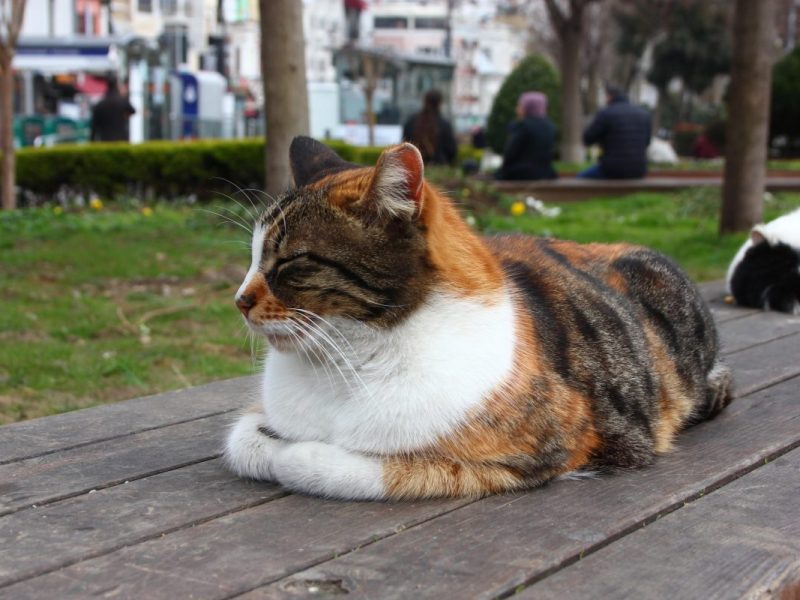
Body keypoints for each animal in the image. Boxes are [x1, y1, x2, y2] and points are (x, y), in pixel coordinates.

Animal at [224, 136, 733, 501]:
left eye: (291, 261)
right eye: (251, 257)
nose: (238, 299)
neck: (347, 360)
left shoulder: (552, 447)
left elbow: (336, 463)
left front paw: (298, 454)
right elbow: (243, 441)